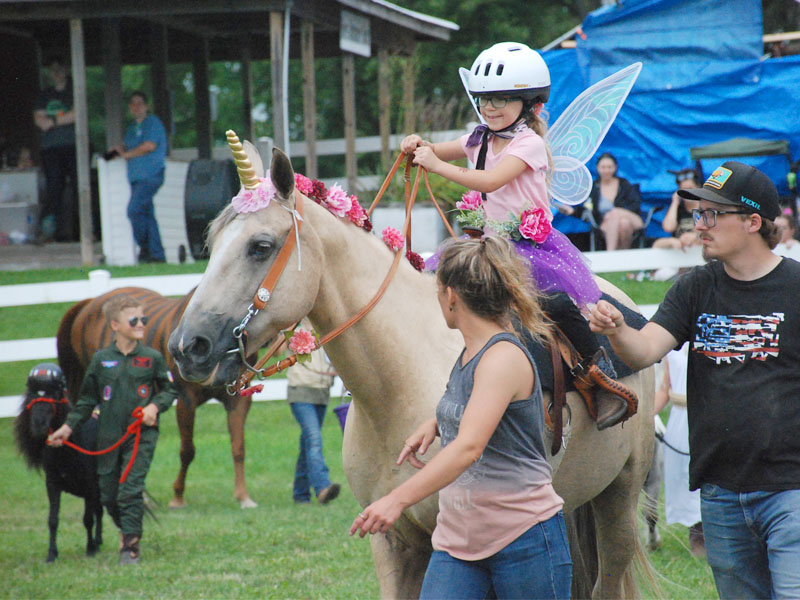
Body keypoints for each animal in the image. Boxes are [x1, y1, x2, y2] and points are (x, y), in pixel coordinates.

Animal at [13, 366, 103, 564]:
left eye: (54, 394)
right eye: (32, 394)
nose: (38, 425)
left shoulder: (90, 487)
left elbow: (88, 519)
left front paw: (90, 549)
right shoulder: (52, 485)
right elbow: (52, 520)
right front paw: (51, 554)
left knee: (99, 511)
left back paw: (98, 542)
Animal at [55, 288, 256, 508]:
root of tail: (90, 302)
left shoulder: (238, 400)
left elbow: (239, 447)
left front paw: (243, 497)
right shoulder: (186, 400)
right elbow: (187, 451)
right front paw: (178, 497)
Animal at [169, 146, 656, 600]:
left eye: (261, 246)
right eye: (211, 244)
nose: (187, 346)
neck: (398, 383)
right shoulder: (394, 543)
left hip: (620, 499)